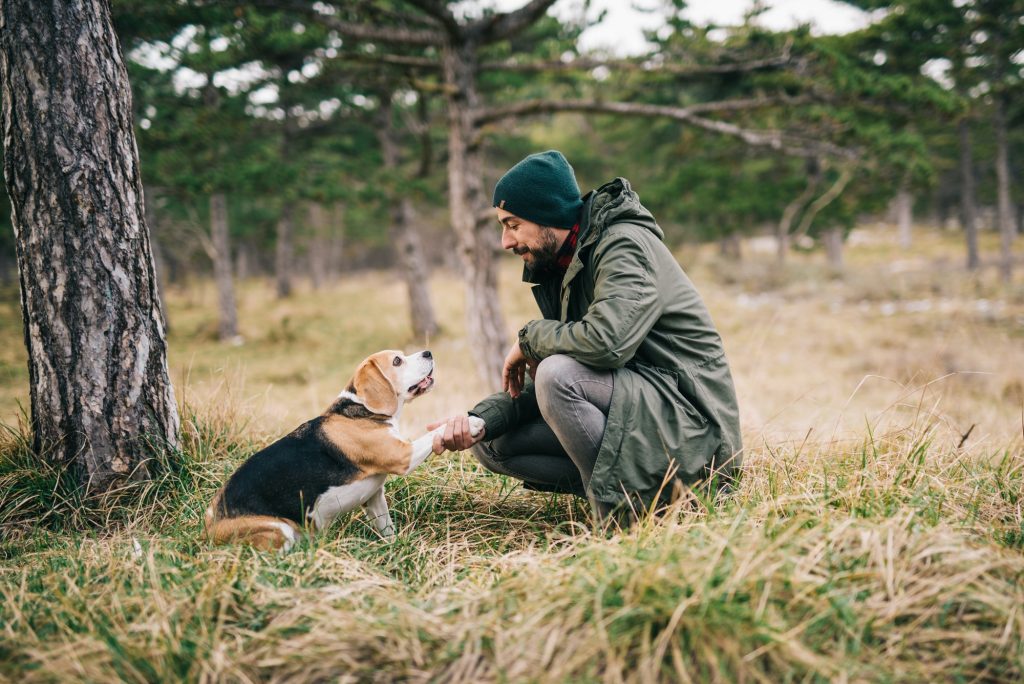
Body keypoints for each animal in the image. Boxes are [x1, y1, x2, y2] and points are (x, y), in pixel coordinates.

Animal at [205, 350, 485, 552]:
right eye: (397, 361)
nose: (428, 352)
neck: (363, 410)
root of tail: (208, 528)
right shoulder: (402, 455)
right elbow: (433, 433)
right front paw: (470, 423)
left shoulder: (374, 496)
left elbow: (386, 527)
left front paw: (395, 548)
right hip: (277, 530)